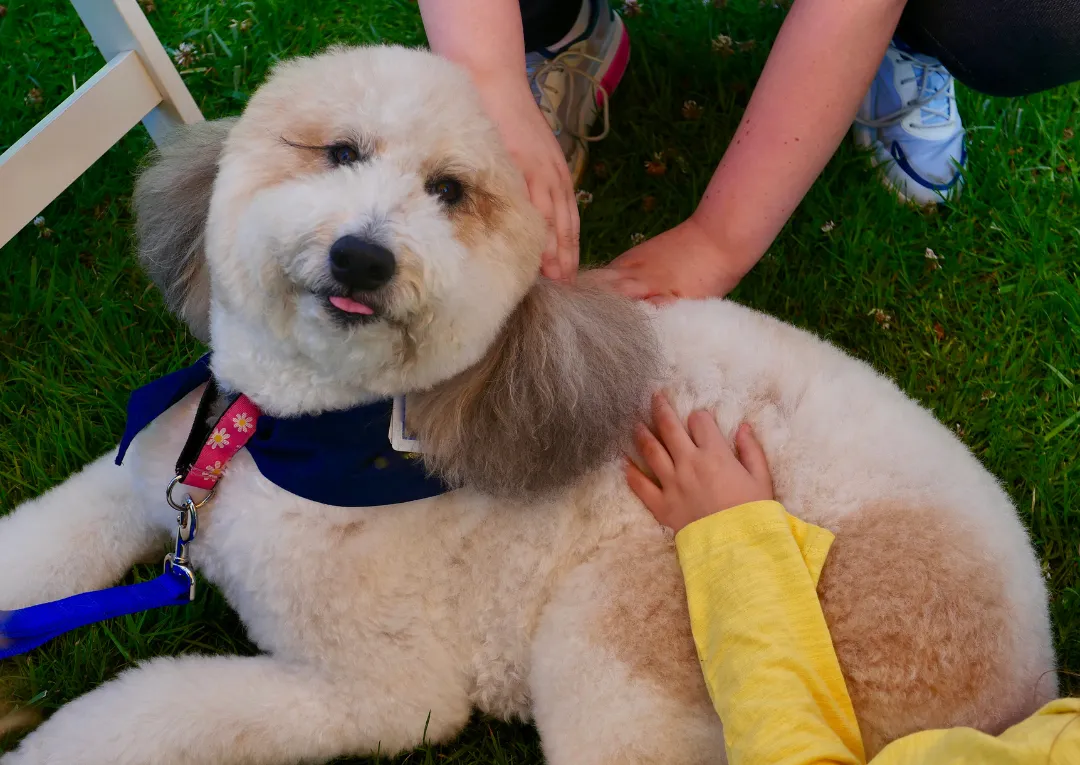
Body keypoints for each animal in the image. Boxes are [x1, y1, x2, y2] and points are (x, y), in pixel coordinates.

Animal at [0, 44, 1054, 760]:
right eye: (339, 151)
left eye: (449, 191)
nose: (363, 255)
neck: (284, 435)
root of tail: (1023, 674)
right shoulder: (134, 488)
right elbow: (34, 550)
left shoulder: (380, 693)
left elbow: (154, 710)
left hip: (616, 638)